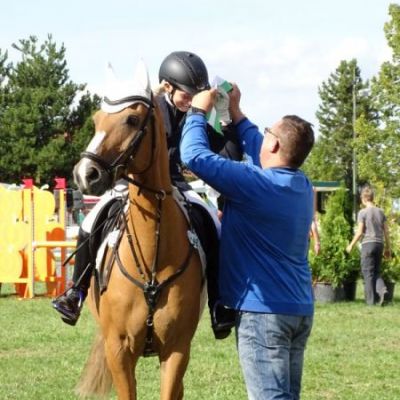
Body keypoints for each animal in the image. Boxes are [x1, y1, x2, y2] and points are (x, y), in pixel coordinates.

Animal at [73, 62, 205, 400]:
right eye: (96, 120)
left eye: (132, 119)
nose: (85, 175)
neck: (152, 255)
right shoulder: (119, 350)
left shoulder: (176, 351)